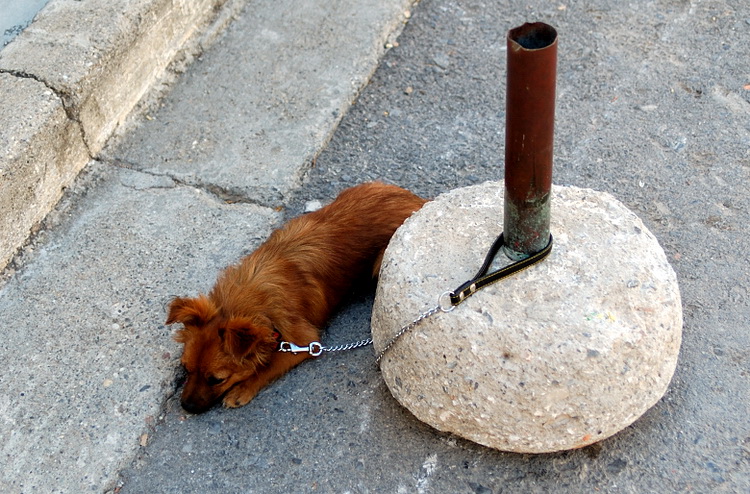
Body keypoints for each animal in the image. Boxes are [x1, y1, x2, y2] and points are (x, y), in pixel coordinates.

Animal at [167, 182, 427, 413]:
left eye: (217, 379)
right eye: (186, 368)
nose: (186, 407)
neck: (244, 297)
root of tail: (421, 202)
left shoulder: (306, 342)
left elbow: (268, 366)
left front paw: (242, 389)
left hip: (380, 260)